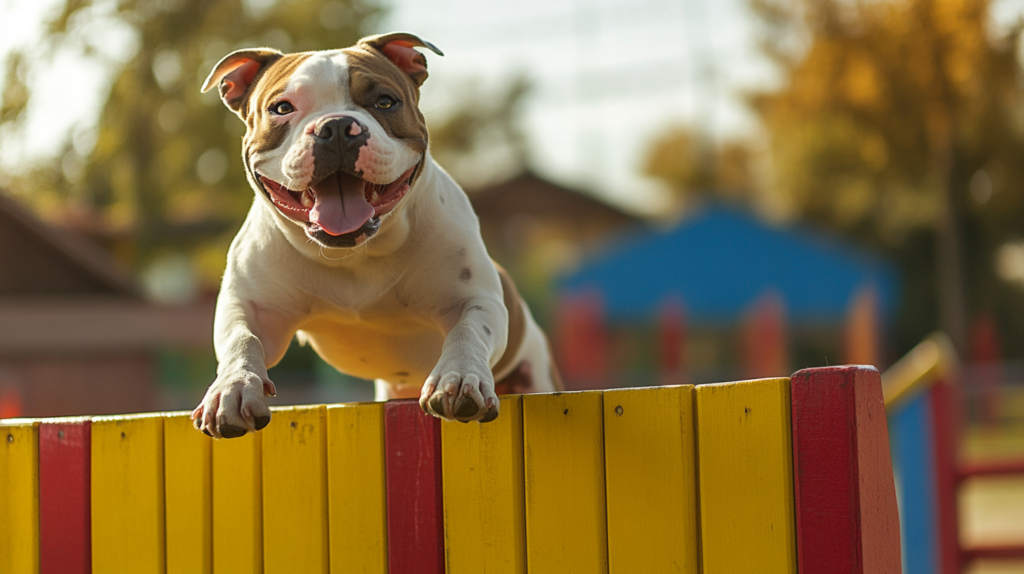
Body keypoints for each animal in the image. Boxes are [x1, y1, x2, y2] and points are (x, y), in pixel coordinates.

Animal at [191, 33, 561, 435]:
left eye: (385, 101)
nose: (336, 126)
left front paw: (460, 378)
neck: (354, 252)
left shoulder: (474, 299)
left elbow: (469, 331)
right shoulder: (251, 309)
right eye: (281, 108)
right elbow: (242, 340)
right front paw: (233, 388)